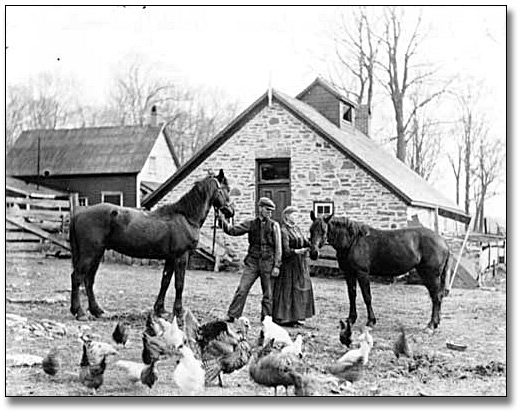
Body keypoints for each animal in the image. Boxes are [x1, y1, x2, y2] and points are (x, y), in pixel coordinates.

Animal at [69, 169, 234, 320]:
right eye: (227, 189)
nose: (231, 212)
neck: (186, 217)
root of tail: (78, 214)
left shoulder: (170, 258)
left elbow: (165, 282)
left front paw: (160, 310)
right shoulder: (181, 256)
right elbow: (179, 284)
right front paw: (178, 311)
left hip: (97, 254)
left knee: (89, 280)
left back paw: (97, 311)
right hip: (90, 254)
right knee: (77, 277)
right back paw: (80, 312)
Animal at [306, 214, 448, 330]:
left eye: (324, 230)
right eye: (311, 230)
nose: (313, 253)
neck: (353, 241)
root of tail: (443, 243)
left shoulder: (362, 273)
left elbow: (367, 296)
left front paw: (371, 321)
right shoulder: (349, 273)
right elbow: (352, 295)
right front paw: (351, 319)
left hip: (431, 275)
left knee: (436, 297)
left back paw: (431, 325)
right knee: (437, 297)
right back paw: (436, 323)